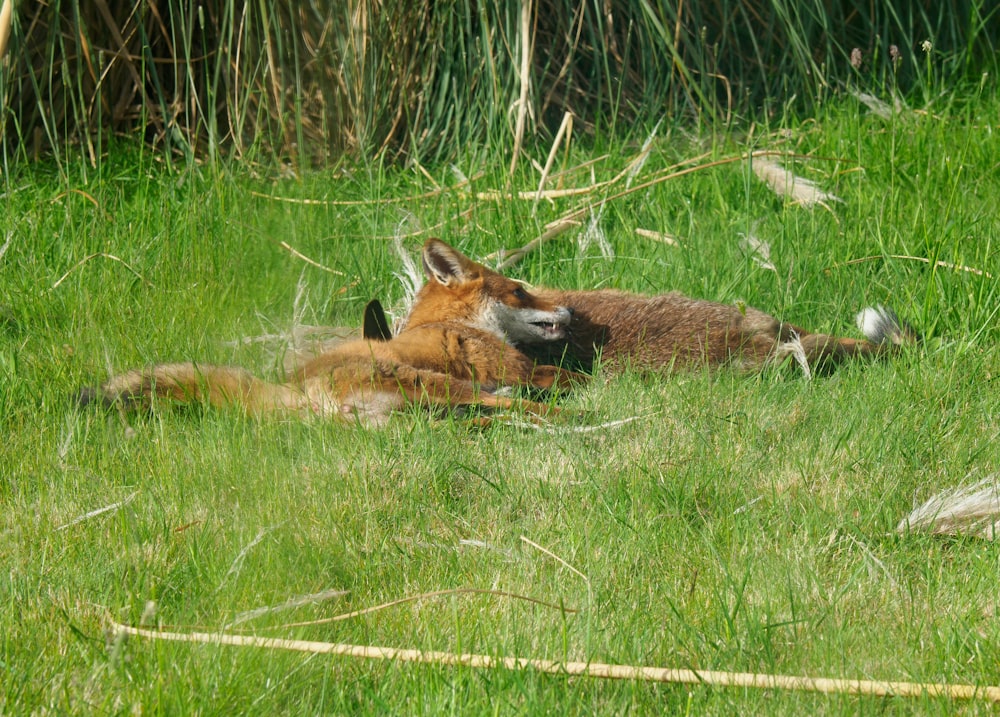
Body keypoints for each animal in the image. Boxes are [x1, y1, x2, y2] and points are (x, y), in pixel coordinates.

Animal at [78, 249, 584, 426]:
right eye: (519, 290)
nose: (570, 312)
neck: (462, 326)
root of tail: (293, 393)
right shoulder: (513, 367)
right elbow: (563, 377)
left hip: (415, 420)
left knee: (480, 419)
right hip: (438, 387)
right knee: (513, 406)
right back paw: (574, 419)